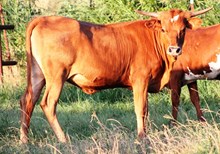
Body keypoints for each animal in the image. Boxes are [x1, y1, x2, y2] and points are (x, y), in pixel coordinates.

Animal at [20, 8, 210, 143]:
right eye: (163, 29)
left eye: (183, 29)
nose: (174, 49)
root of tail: (45, 18)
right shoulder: (140, 80)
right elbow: (141, 108)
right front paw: (141, 136)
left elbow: (146, 110)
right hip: (56, 76)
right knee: (48, 104)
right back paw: (63, 139)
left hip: (38, 75)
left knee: (28, 100)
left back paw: (24, 140)